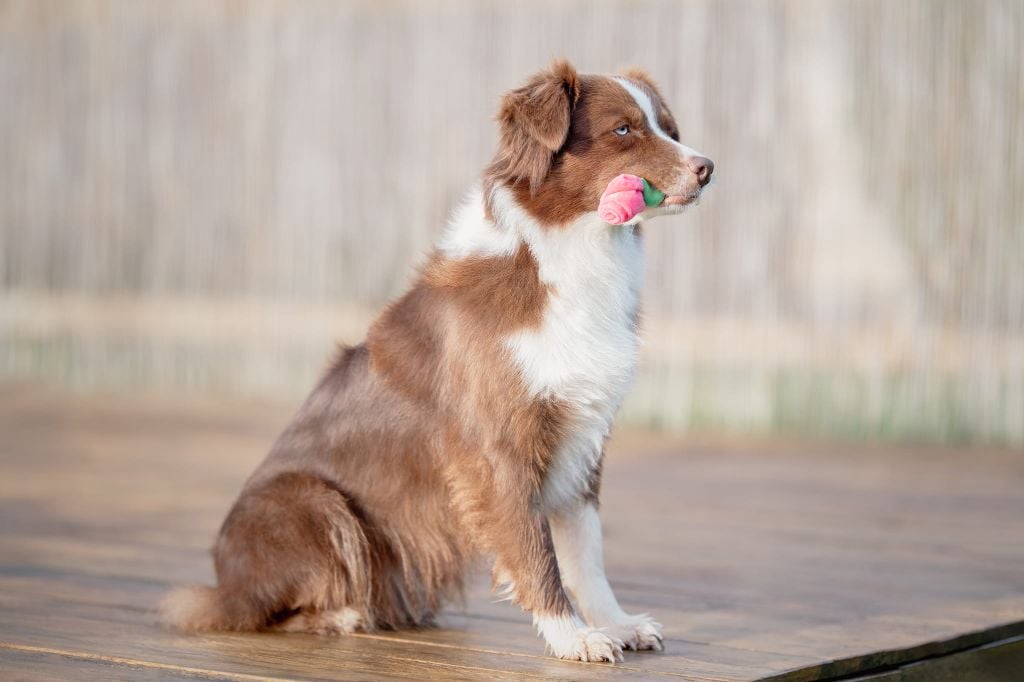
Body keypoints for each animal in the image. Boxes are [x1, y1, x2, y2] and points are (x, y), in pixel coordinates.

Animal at [163, 59, 716, 659]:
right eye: (623, 130)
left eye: (669, 128)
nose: (707, 168)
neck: (570, 250)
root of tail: (221, 582)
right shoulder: (500, 448)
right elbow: (537, 552)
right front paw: (572, 636)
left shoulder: (581, 437)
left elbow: (585, 553)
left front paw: (614, 623)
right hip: (313, 501)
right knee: (256, 610)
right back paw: (340, 614)